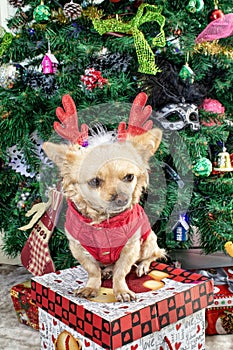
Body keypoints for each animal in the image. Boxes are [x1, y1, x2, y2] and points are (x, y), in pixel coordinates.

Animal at [42, 94, 166, 302]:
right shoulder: (78, 248)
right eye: (94, 181)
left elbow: (122, 271)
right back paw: (107, 270)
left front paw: (122, 291)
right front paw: (92, 286)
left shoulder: (131, 247)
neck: (103, 222)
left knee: (154, 254)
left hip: (148, 242)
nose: (121, 199)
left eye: (129, 177)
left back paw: (142, 266)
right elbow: (92, 270)